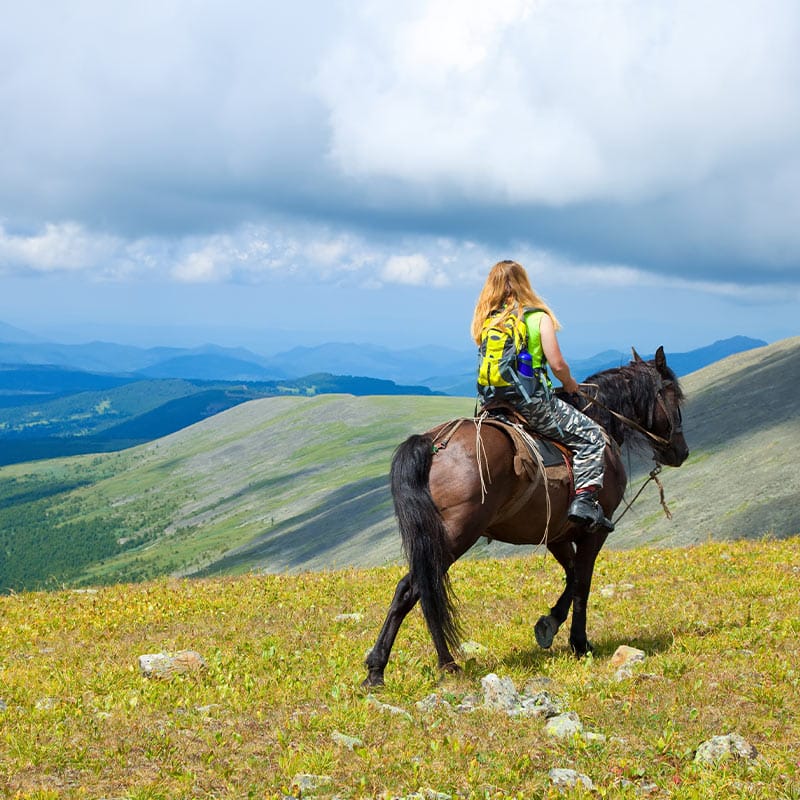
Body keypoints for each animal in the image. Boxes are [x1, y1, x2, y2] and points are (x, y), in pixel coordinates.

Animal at [366, 346, 692, 688]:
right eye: (674, 397)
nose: (680, 451)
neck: (599, 422)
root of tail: (433, 444)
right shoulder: (594, 531)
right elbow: (583, 582)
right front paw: (579, 642)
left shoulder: (557, 533)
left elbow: (572, 576)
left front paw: (549, 624)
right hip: (454, 537)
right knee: (417, 588)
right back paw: (442, 663)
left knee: (413, 590)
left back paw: (379, 669)